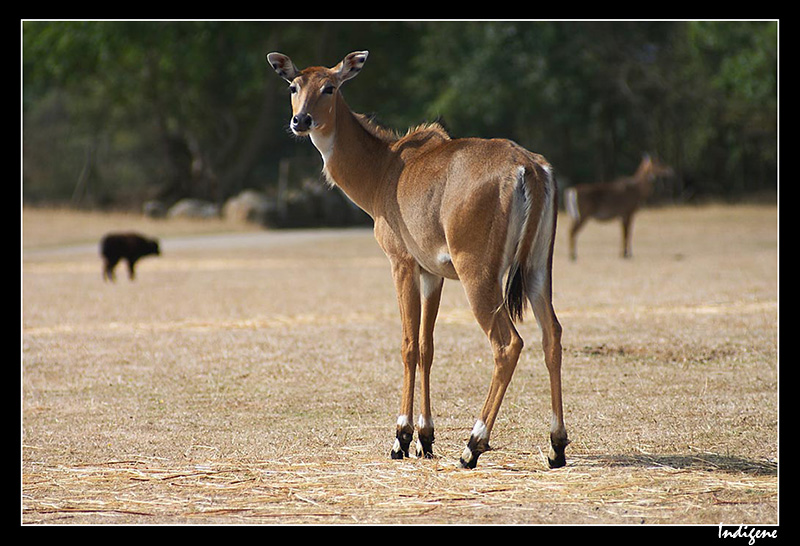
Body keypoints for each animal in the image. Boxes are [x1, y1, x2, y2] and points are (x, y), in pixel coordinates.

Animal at [268, 52, 568, 468]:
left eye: (330, 87)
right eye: (294, 86)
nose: (302, 120)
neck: (384, 169)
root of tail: (528, 167)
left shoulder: (402, 264)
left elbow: (408, 345)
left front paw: (402, 437)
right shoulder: (432, 273)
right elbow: (427, 346)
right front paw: (426, 437)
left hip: (478, 274)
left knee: (507, 344)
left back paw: (473, 445)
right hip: (538, 268)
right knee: (551, 335)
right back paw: (556, 446)